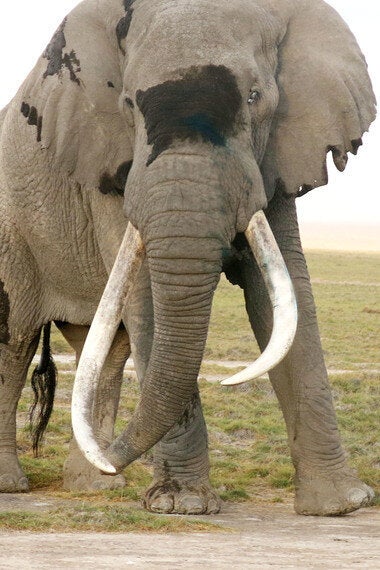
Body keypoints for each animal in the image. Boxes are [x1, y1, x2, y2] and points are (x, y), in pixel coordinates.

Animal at [0, 0, 376, 516]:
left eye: (255, 97)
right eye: (128, 105)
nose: (113, 460)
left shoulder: (273, 160)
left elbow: (282, 294)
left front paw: (342, 506)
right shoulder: (111, 170)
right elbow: (149, 303)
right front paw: (183, 506)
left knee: (104, 349)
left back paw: (97, 485)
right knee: (14, 341)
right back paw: (16, 485)